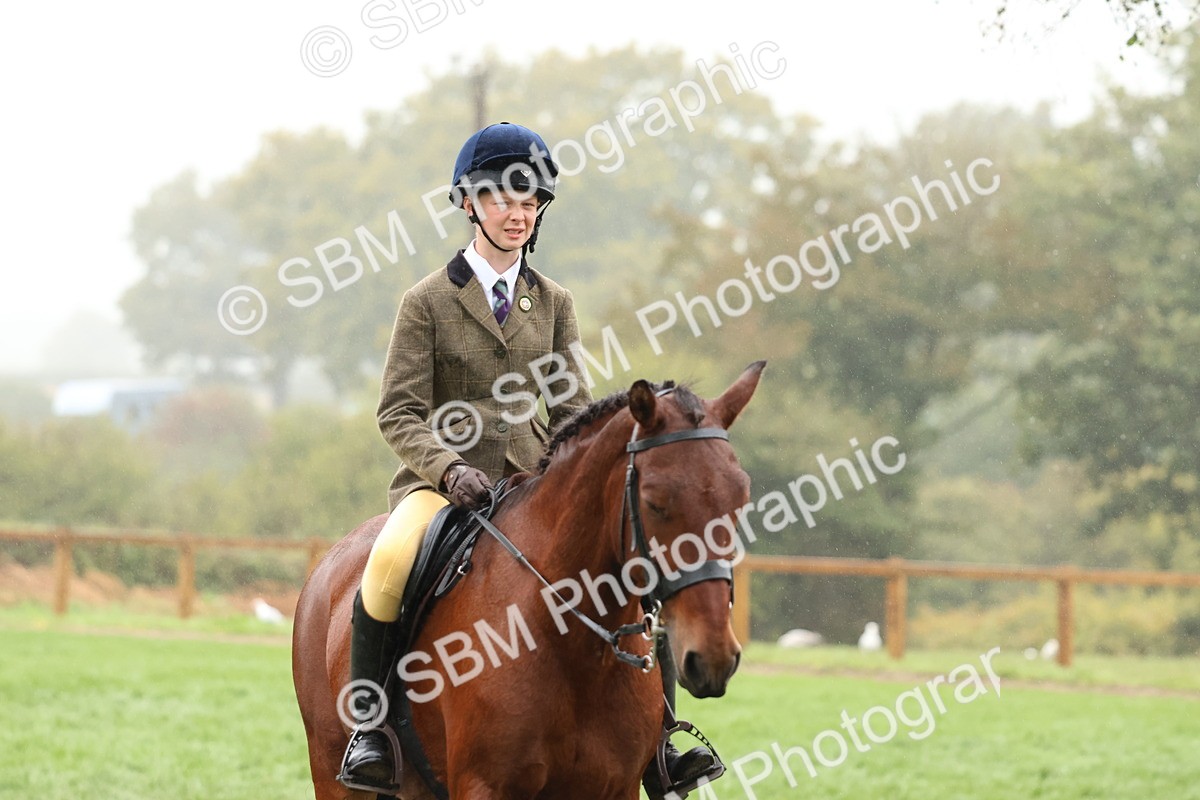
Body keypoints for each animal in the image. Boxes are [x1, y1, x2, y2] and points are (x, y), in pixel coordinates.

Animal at [293, 361, 765, 800]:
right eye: (655, 502)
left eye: (740, 497)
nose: (715, 658)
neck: (576, 649)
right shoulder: (484, 785)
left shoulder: (616, 787)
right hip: (333, 771)